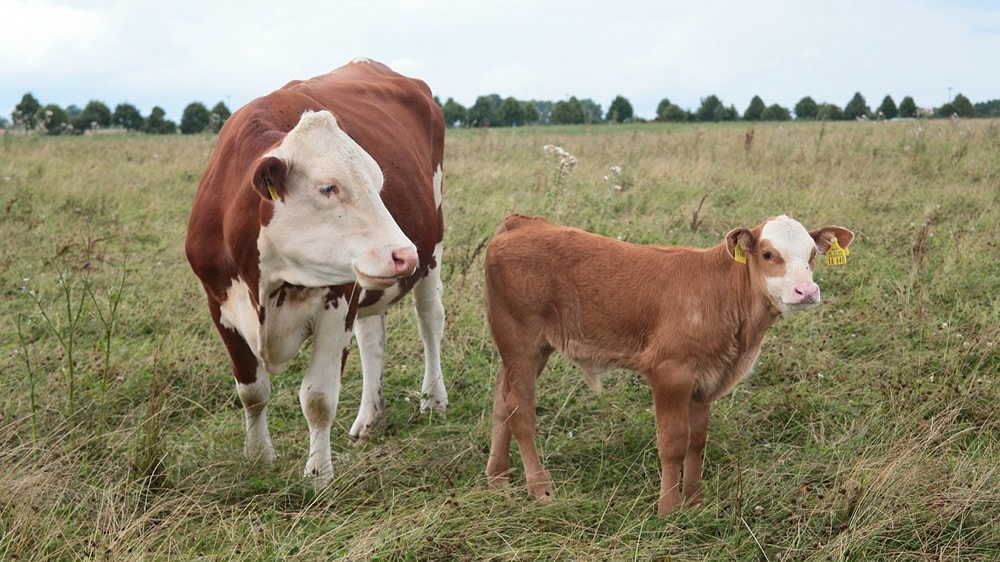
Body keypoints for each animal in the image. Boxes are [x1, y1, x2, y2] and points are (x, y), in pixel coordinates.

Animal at [187, 59, 450, 484]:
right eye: (328, 187)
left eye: (379, 183)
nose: (403, 254)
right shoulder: (220, 304)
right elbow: (252, 390)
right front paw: (258, 456)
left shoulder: (337, 300)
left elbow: (318, 398)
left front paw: (319, 475)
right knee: (372, 340)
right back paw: (368, 417)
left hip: (433, 247)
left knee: (430, 322)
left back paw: (433, 399)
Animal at [482, 212, 852, 516]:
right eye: (768, 254)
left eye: (813, 255)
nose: (806, 291)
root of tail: (523, 223)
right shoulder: (671, 372)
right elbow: (673, 442)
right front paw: (670, 507)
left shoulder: (706, 380)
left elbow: (697, 441)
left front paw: (695, 500)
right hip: (520, 340)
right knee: (521, 411)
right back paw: (539, 488)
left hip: (530, 348)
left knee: (502, 399)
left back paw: (498, 478)